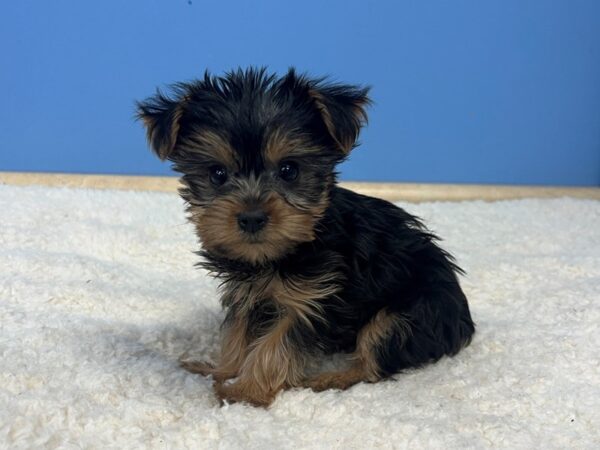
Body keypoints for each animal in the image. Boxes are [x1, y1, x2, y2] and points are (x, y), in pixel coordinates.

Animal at [138, 67, 476, 408]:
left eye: (289, 170)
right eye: (217, 174)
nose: (251, 217)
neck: (279, 253)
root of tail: (464, 325)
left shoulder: (314, 299)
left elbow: (276, 344)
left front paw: (245, 392)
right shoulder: (247, 293)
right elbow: (237, 332)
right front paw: (222, 370)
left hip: (414, 310)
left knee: (375, 355)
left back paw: (330, 379)